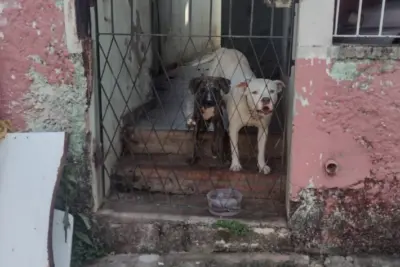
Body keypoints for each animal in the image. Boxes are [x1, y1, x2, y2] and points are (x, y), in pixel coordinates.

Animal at [188, 47, 284, 176]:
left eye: (272, 91)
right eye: (254, 92)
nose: (265, 99)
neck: (251, 111)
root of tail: (225, 49)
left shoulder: (263, 130)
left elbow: (261, 150)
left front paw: (262, 166)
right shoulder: (233, 129)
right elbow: (235, 149)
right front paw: (235, 165)